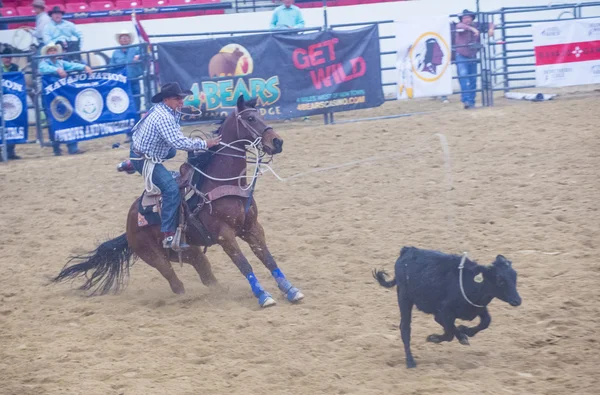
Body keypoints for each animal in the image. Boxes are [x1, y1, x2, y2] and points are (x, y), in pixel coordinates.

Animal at [52, 96, 304, 310]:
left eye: (261, 115)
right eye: (251, 119)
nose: (277, 141)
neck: (222, 182)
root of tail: (129, 223)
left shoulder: (252, 228)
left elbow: (268, 258)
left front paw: (291, 290)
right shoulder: (225, 235)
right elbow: (245, 264)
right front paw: (263, 296)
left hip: (190, 251)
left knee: (206, 274)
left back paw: (219, 293)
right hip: (153, 256)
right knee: (175, 283)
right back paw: (187, 297)